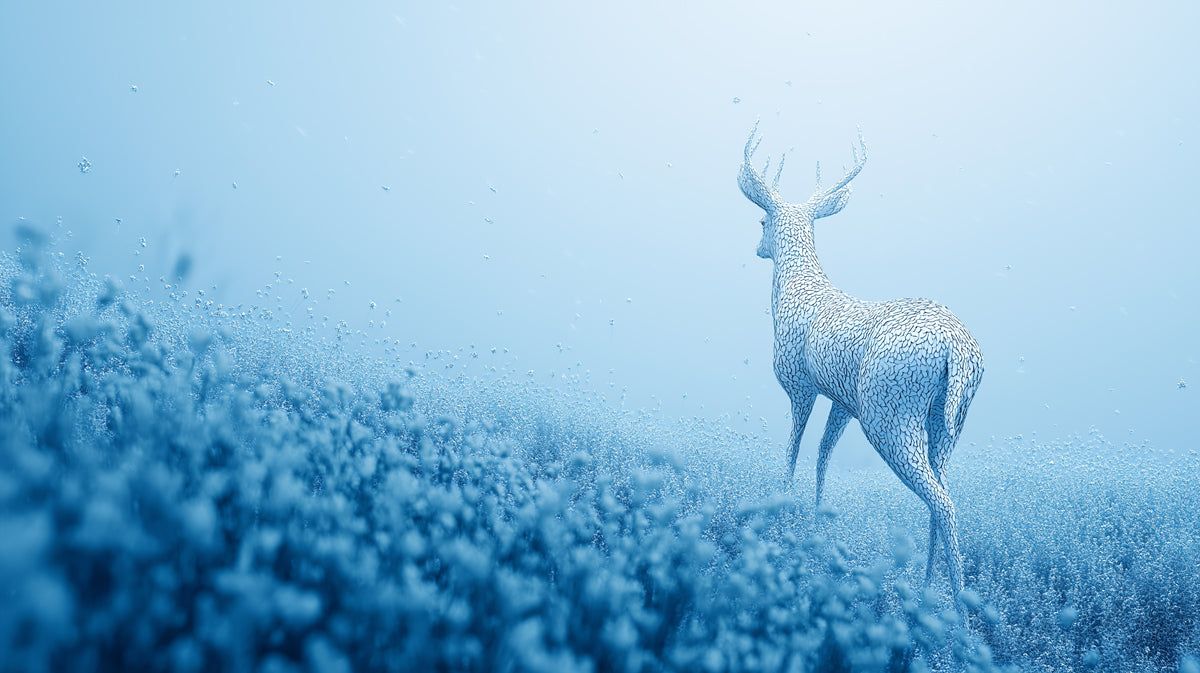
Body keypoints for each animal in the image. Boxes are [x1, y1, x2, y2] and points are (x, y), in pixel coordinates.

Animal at [737, 123, 984, 596]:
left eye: (761, 220)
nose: (757, 248)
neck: (795, 292)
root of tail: (957, 350)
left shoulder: (799, 385)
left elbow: (793, 451)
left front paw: (781, 515)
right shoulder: (842, 402)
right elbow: (822, 455)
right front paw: (817, 524)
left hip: (889, 413)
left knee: (942, 500)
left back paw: (956, 606)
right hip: (948, 422)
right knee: (943, 491)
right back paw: (928, 586)